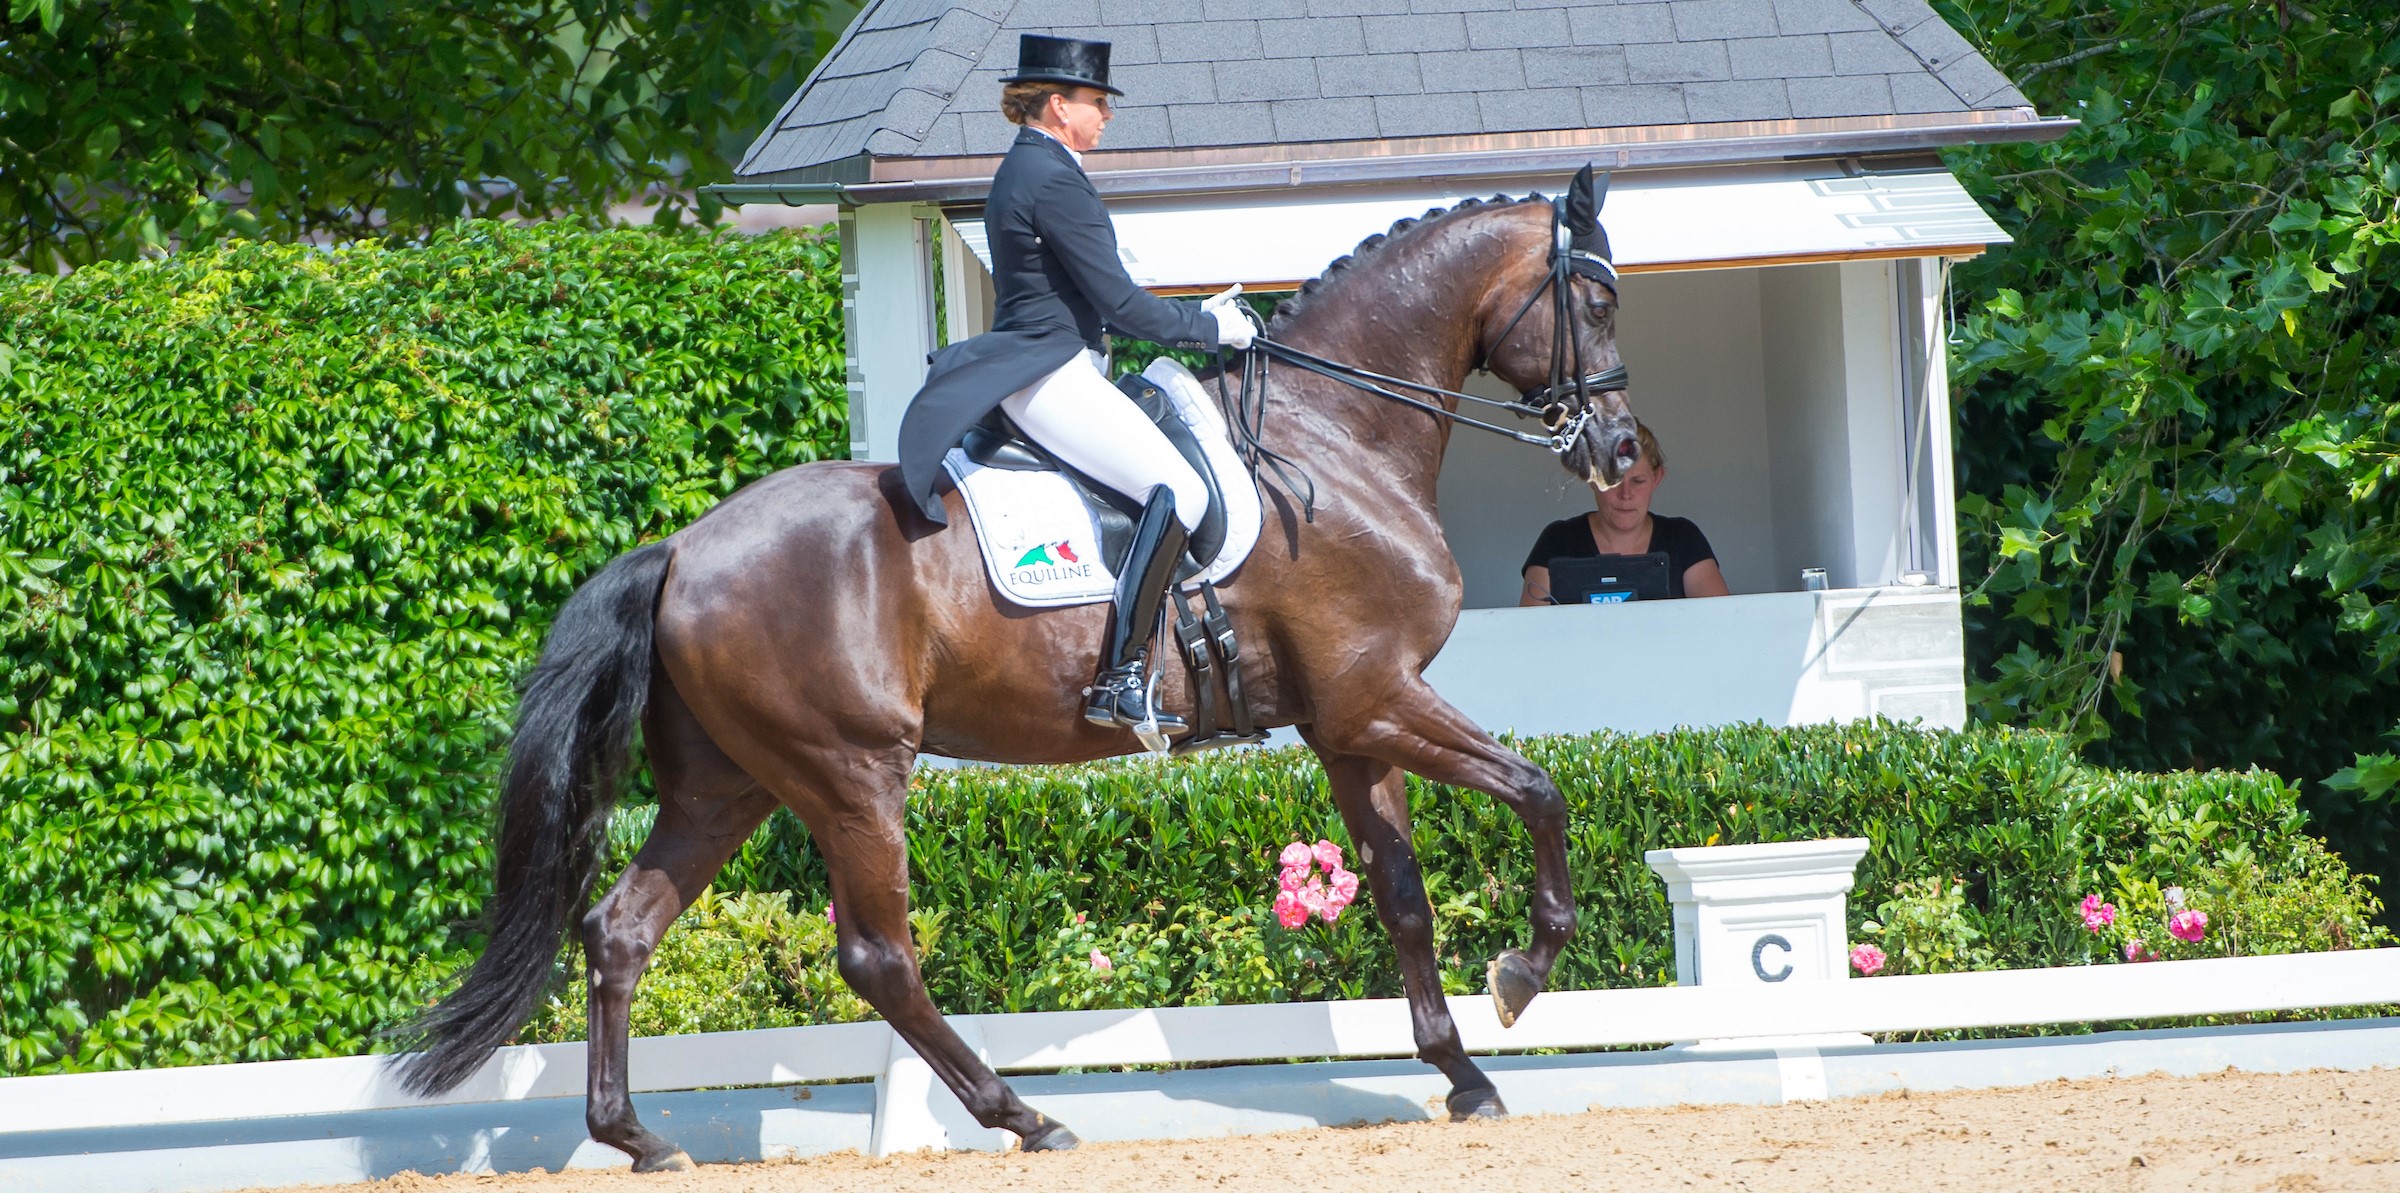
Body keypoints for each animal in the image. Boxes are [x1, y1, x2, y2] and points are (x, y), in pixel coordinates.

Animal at [398, 178, 1632, 1171]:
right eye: (1599, 303)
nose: (1620, 453)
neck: (1335, 440)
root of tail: (683, 550)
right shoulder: (1380, 696)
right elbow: (1539, 790)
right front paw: (1522, 973)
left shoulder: (1348, 722)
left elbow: (1402, 893)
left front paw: (1464, 1074)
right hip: (852, 773)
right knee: (877, 955)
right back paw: (1023, 1116)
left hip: (726, 787)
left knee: (620, 930)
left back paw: (639, 1137)